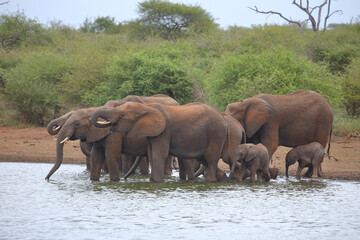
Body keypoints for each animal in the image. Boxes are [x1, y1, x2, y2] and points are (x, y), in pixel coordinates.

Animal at [90, 101, 236, 182]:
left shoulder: (164, 131)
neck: (146, 107)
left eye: (122, 115)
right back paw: (224, 179)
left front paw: (158, 182)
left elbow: (158, 155)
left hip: (216, 133)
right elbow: (151, 153)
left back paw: (211, 181)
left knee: (211, 160)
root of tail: (224, 120)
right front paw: (152, 180)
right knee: (205, 160)